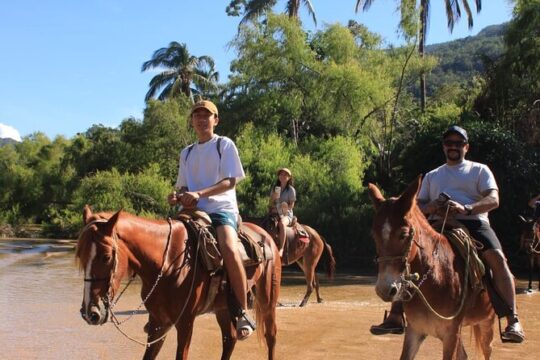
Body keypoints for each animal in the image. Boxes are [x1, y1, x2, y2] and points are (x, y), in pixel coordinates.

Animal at [77, 205, 282, 360]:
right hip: (222, 307)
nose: (90, 313)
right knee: (229, 339)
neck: (168, 262)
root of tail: (266, 235)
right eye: (81, 256)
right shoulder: (158, 323)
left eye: (106, 256)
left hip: (267, 300)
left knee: (271, 336)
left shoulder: (185, 323)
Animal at [370, 178, 496, 360]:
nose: (385, 289)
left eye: (403, 234)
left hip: (487, 323)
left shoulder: (451, 335)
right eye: (374, 235)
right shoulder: (415, 331)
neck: (436, 277)